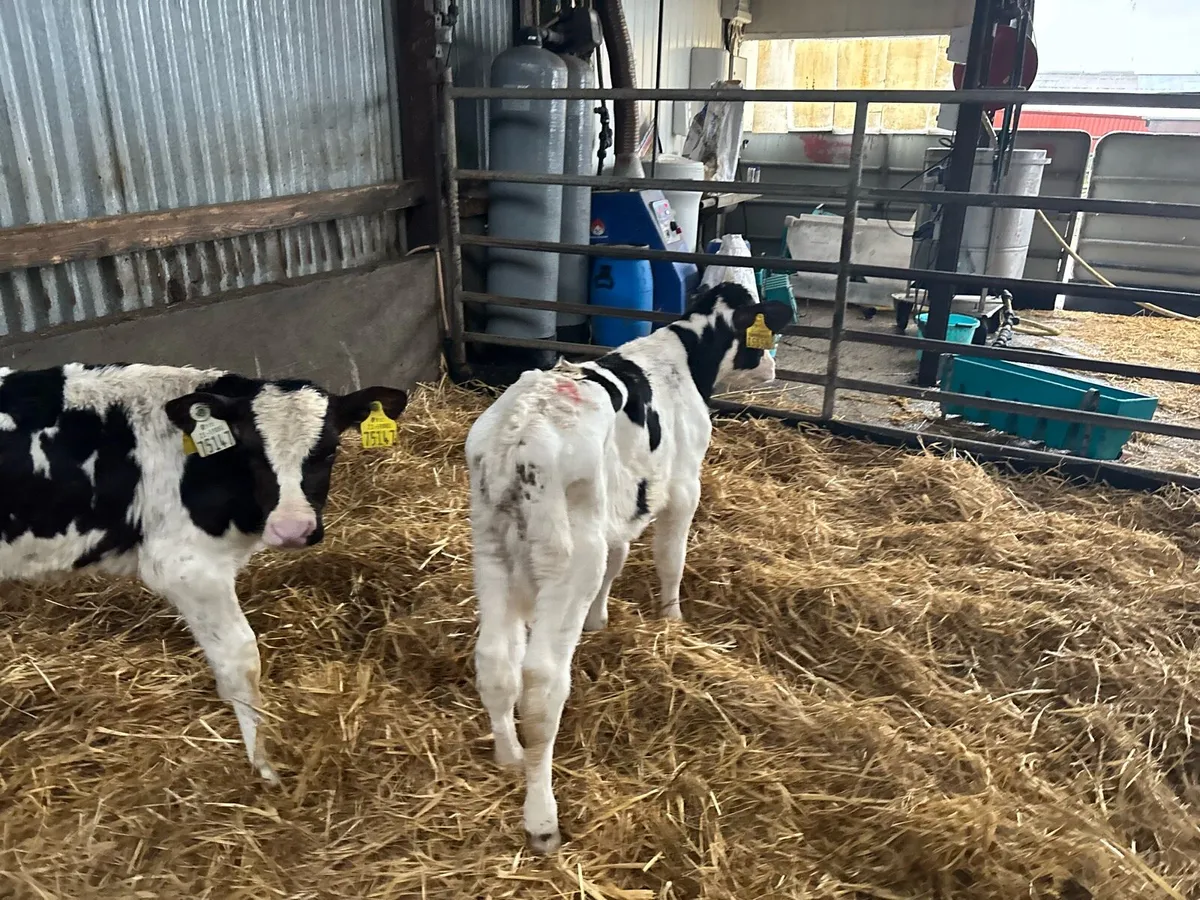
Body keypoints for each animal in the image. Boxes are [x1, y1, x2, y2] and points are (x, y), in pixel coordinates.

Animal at [0, 363, 408, 783]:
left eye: (329, 450)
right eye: (251, 451)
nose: (292, 529)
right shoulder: (187, 566)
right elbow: (240, 661)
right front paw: (265, 767)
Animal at [465, 283, 793, 853]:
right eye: (760, 329)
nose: (772, 366)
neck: (684, 353)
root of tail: (517, 431)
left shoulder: (623, 505)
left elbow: (619, 561)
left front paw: (601, 620)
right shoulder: (683, 486)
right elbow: (670, 558)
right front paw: (672, 618)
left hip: (491, 551)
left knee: (496, 662)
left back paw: (508, 757)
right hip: (569, 560)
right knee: (541, 684)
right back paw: (542, 818)